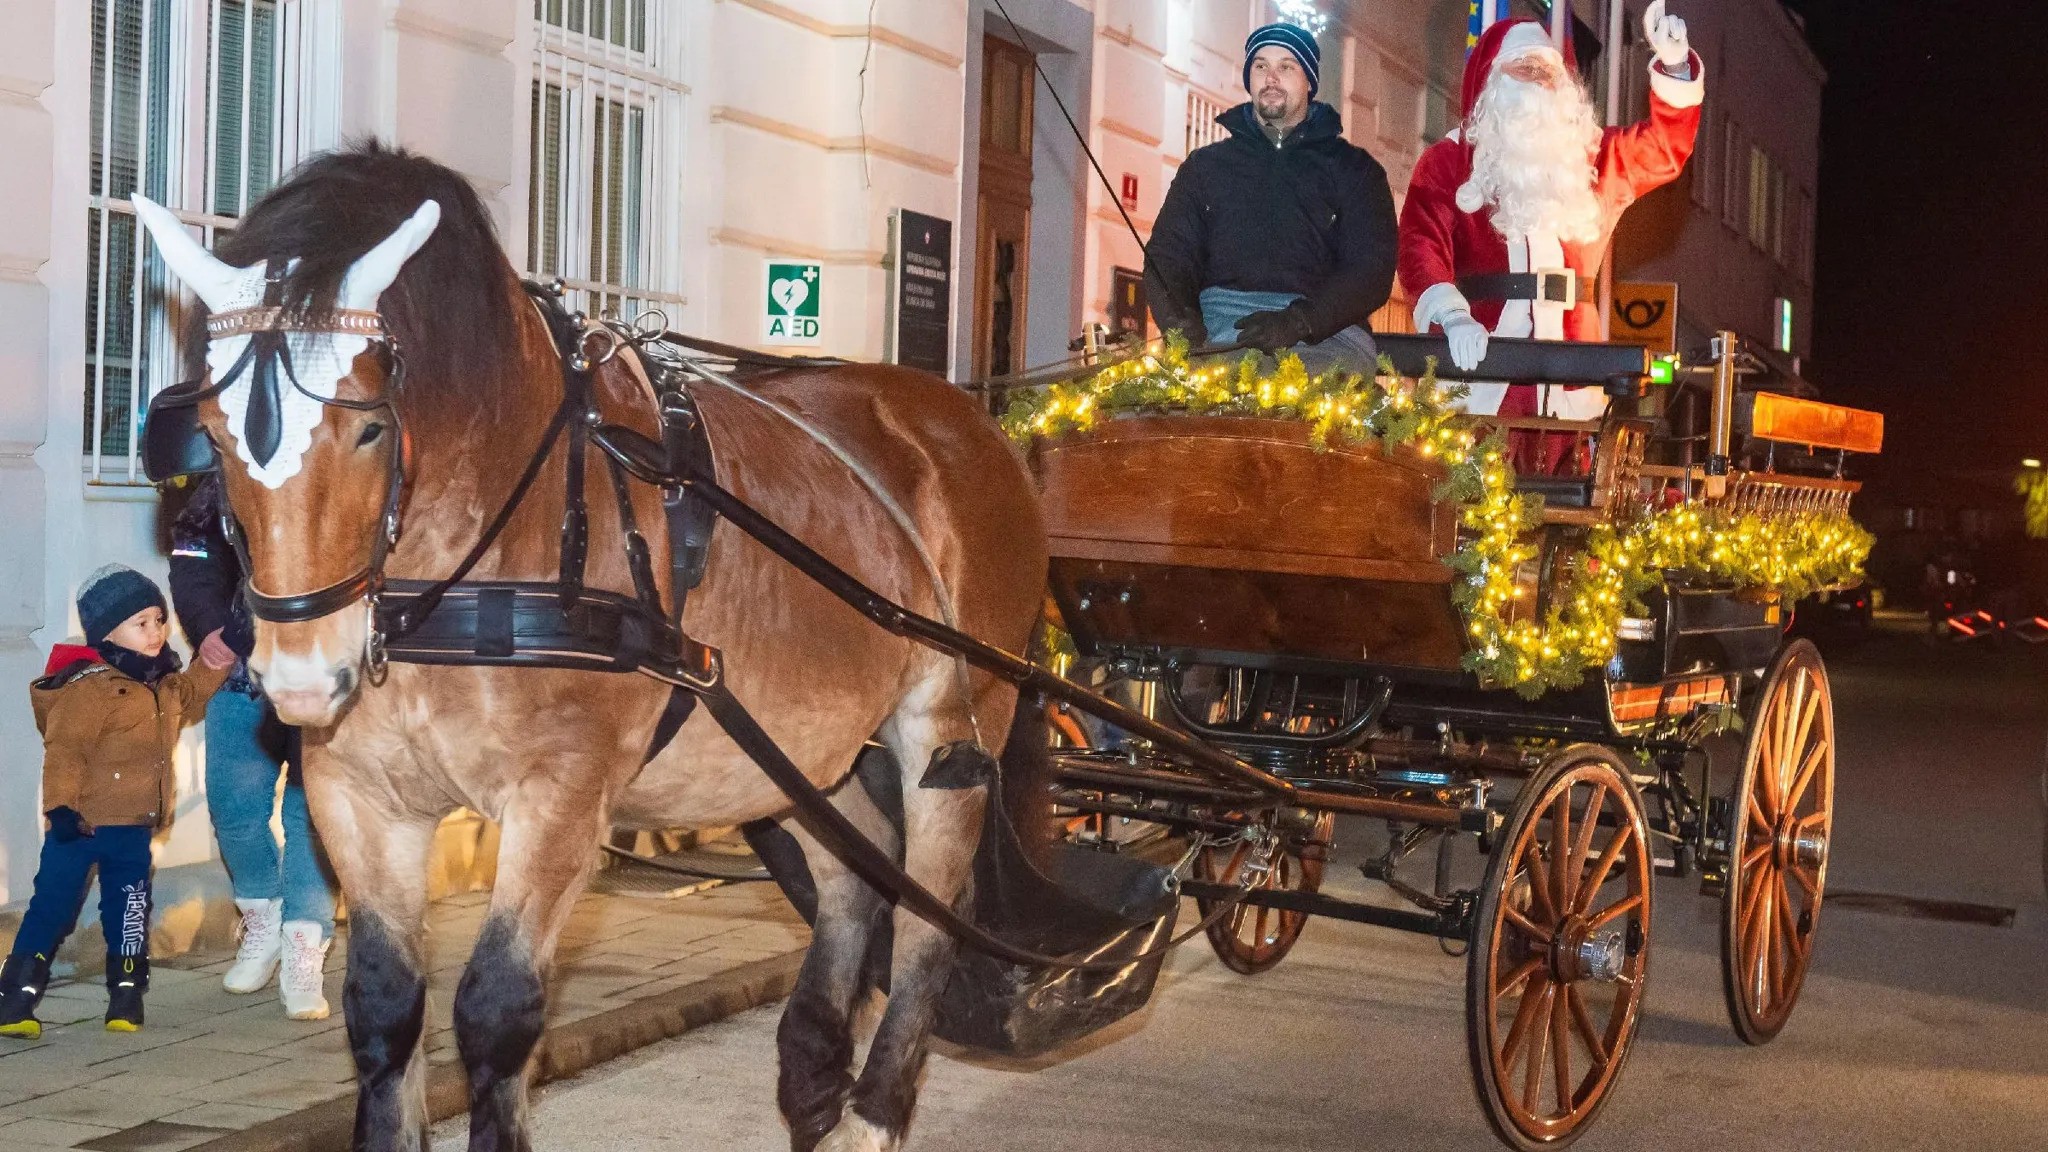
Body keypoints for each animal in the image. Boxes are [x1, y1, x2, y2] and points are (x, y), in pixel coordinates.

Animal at [128, 143, 1048, 1147]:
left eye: (370, 427)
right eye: (212, 437)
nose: (297, 678)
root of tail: (959, 418)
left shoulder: (564, 789)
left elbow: (496, 1010)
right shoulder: (356, 792)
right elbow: (383, 1008)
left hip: (952, 715)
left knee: (931, 908)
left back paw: (873, 1110)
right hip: (804, 744)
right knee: (858, 871)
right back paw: (812, 1075)